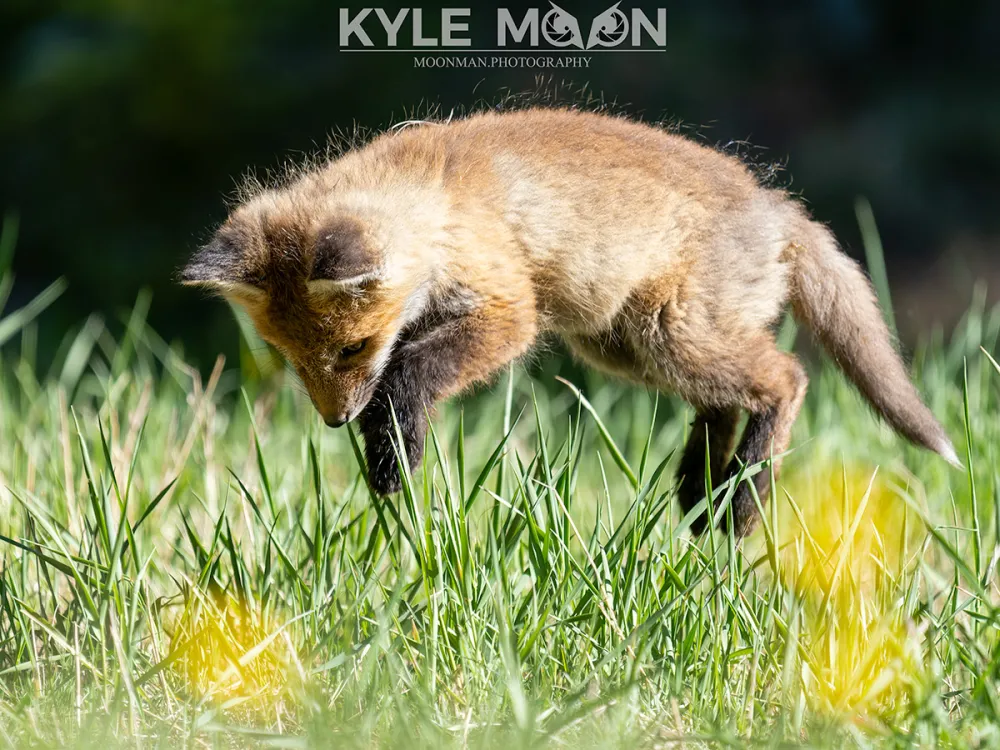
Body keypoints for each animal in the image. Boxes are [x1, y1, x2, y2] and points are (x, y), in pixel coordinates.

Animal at [181, 107, 958, 536]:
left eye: (352, 348)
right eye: (293, 360)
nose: (334, 420)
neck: (436, 206)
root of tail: (782, 210)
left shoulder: (508, 312)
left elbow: (410, 372)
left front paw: (394, 453)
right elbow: (404, 377)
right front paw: (385, 451)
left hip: (670, 337)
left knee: (786, 378)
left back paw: (742, 501)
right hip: (626, 346)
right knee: (726, 401)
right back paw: (700, 495)